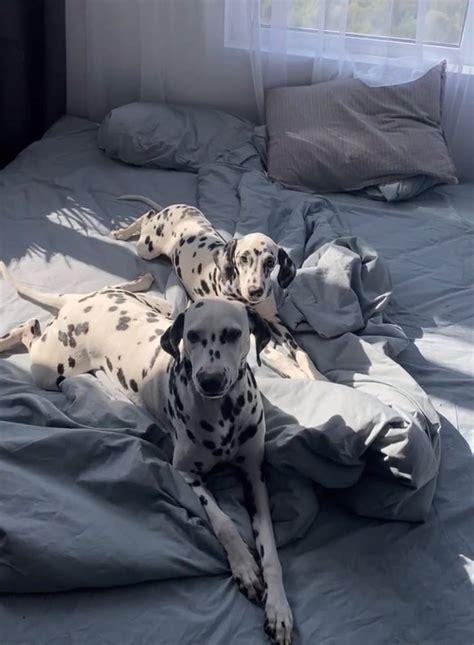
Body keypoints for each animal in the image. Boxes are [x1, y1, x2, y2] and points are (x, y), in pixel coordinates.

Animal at [0, 263, 293, 645]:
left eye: (233, 334)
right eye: (193, 337)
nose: (210, 380)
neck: (223, 412)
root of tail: (80, 303)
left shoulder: (254, 475)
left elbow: (270, 548)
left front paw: (279, 609)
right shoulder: (186, 473)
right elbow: (224, 522)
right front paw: (243, 565)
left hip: (155, 308)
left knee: (115, 291)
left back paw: (138, 281)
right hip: (49, 368)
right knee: (29, 331)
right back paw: (13, 335)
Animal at [110, 195, 327, 383]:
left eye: (270, 262)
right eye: (243, 258)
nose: (255, 291)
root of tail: (172, 207)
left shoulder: (275, 322)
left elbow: (301, 353)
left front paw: (316, 374)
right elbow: (276, 355)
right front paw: (297, 373)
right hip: (147, 248)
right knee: (146, 217)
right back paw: (121, 232)